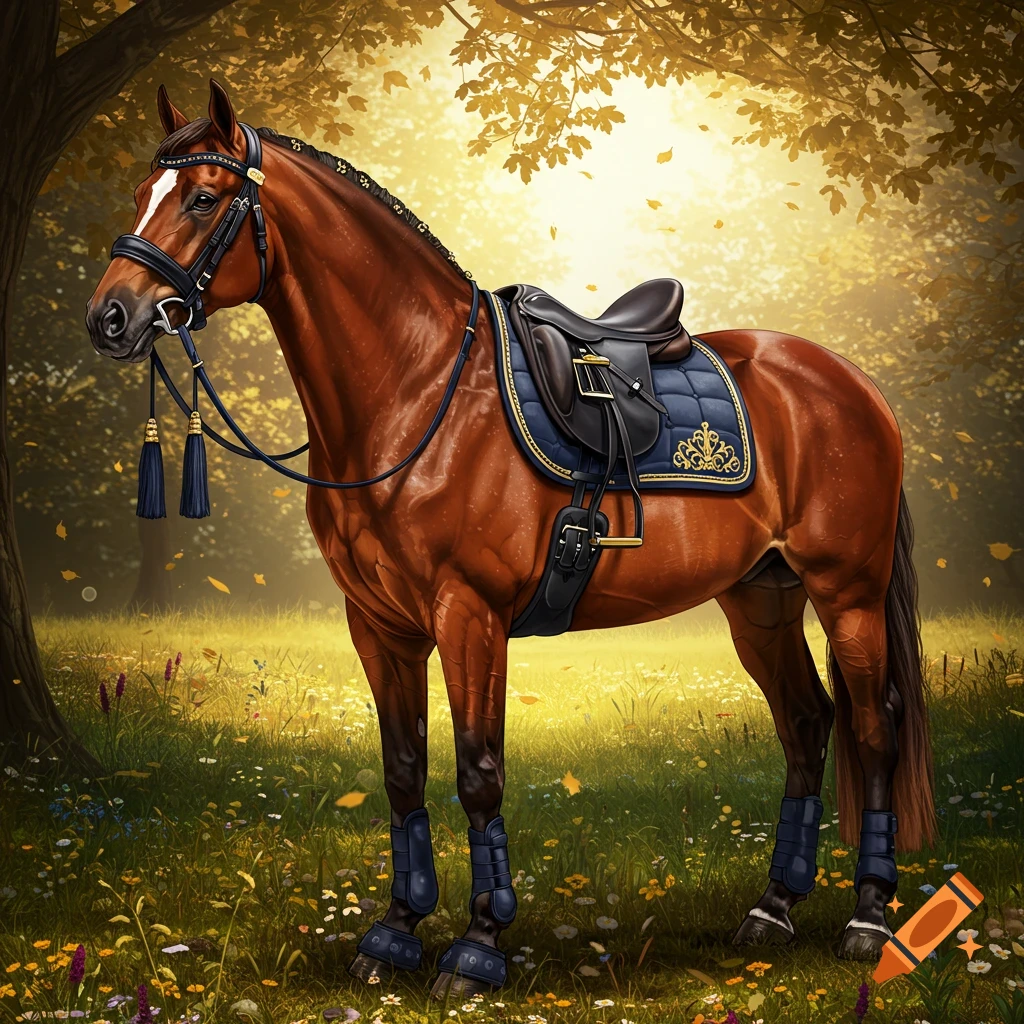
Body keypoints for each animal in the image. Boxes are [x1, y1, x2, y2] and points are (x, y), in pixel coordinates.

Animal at [87, 80, 934, 998]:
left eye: (204, 198)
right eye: (142, 193)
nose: (110, 317)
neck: (419, 393)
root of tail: (852, 383)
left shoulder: (471, 615)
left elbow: (479, 774)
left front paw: (479, 945)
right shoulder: (379, 625)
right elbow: (403, 770)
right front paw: (394, 932)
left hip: (846, 593)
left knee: (873, 727)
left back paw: (869, 917)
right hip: (762, 600)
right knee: (808, 724)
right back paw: (773, 908)